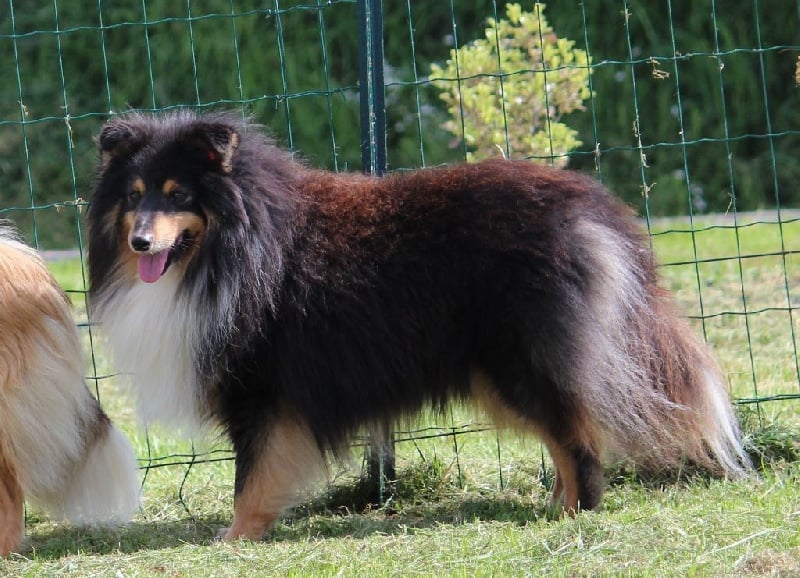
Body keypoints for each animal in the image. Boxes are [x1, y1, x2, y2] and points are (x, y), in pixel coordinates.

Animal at [87, 110, 750, 541]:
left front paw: (234, 539)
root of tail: (595, 211)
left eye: (179, 194)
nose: (140, 241)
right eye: (135, 194)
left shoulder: (262, 392)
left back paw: (574, 514)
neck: (232, 242)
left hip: (519, 360)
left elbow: (251, 477)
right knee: (567, 431)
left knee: (577, 436)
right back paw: (556, 505)